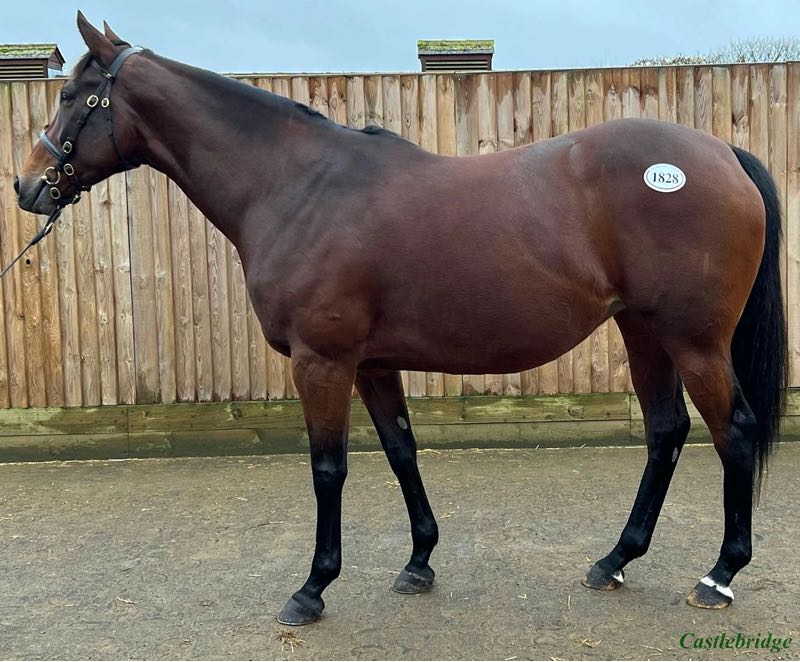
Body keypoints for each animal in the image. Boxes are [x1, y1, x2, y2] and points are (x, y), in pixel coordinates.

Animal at [15, 13, 787, 625]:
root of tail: (721, 153)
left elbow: (328, 468)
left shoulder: (322, 360)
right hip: (643, 333)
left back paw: (719, 575)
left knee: (734, 433)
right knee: (666, 433)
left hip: (694, 342)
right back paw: (615, 559)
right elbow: (400, 452)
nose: (27, 187)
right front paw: (419, 562)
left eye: (73, 96)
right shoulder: (373, 365)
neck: (296, 185)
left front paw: (313, 587)